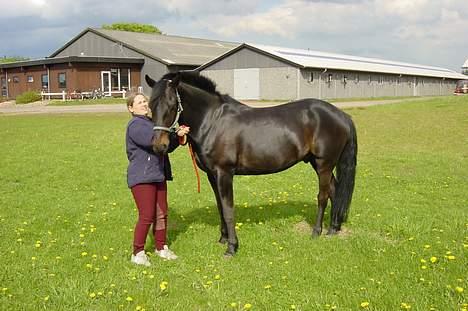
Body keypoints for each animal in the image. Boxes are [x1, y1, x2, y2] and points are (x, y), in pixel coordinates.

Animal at [144, 72, 356, 258]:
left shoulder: (224, 173)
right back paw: (333, 229)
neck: (212, 121)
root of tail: (341, 115)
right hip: (317, 163)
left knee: (323, 196)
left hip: (324, 164)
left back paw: (317, 231)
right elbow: (220, 206)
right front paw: (223, 238)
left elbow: (228, 209)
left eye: (172, 105)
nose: (159, 146)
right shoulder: (212, 175)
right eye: (150, 105)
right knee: (335, 191)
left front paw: (231, 247)